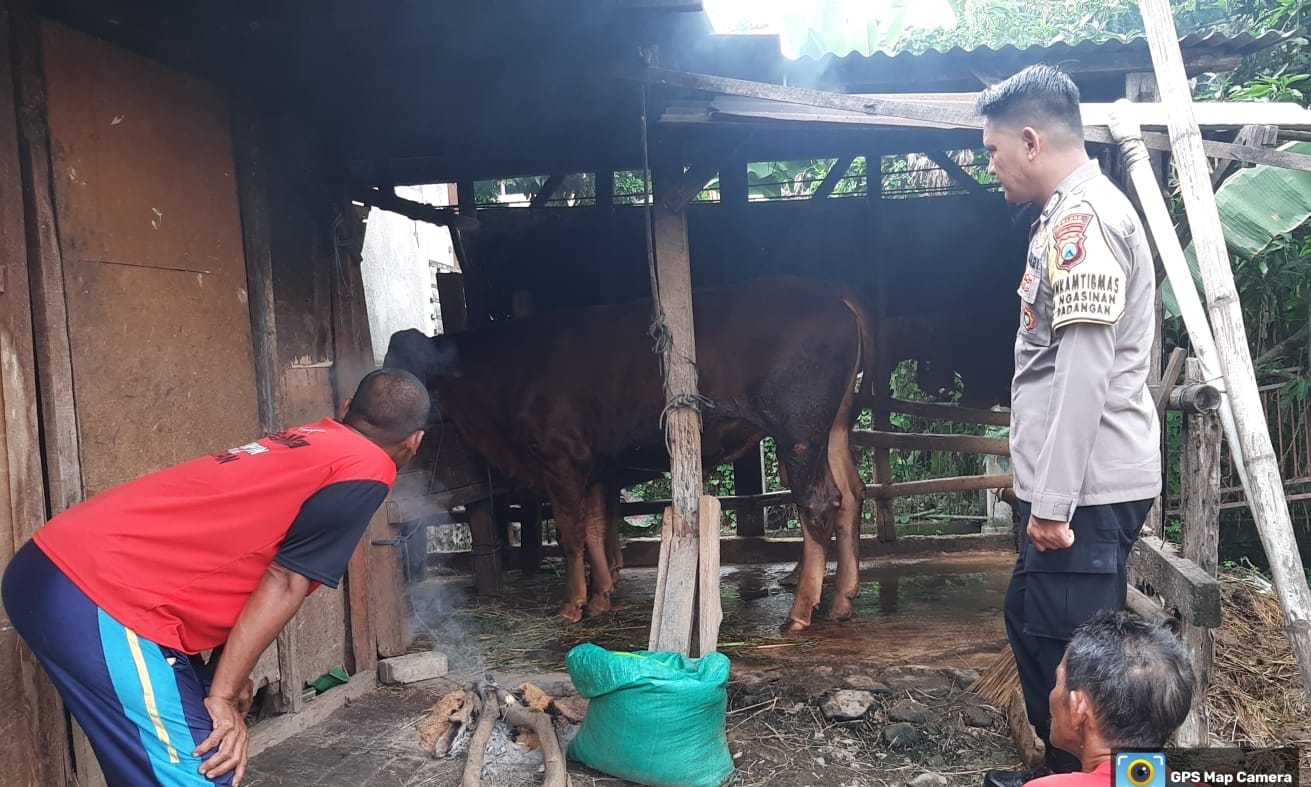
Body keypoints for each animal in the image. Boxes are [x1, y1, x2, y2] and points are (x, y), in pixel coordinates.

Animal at [385, 274, 870, 629]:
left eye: (404, 363)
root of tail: (833, 295)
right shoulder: (597, 463)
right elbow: (597, 528)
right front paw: (601, 597)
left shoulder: (560, 460)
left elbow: (570, 534)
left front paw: (572, 605)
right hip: (833, 431)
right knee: (851, 494)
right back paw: (843, 599)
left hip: (799, 432)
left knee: (819, 504)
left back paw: (800, 612)